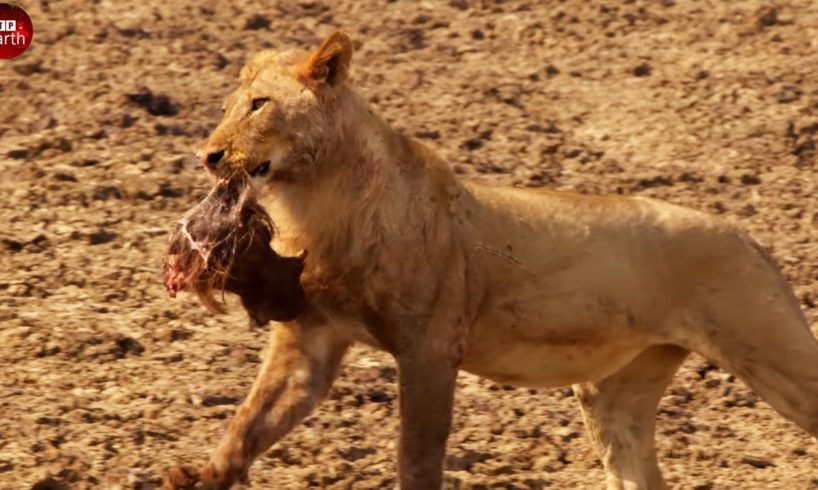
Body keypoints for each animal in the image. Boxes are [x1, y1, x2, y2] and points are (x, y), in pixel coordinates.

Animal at [165, 31, 818, 490]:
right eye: (228, 107)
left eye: (259, 105)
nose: (208, 155)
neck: (315, 202)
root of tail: (747, 233)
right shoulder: (310, 343)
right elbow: (250, 422)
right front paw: (200, 476)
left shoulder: (431, 346)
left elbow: (418, 452)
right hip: (615, 393)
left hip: (771, 347)